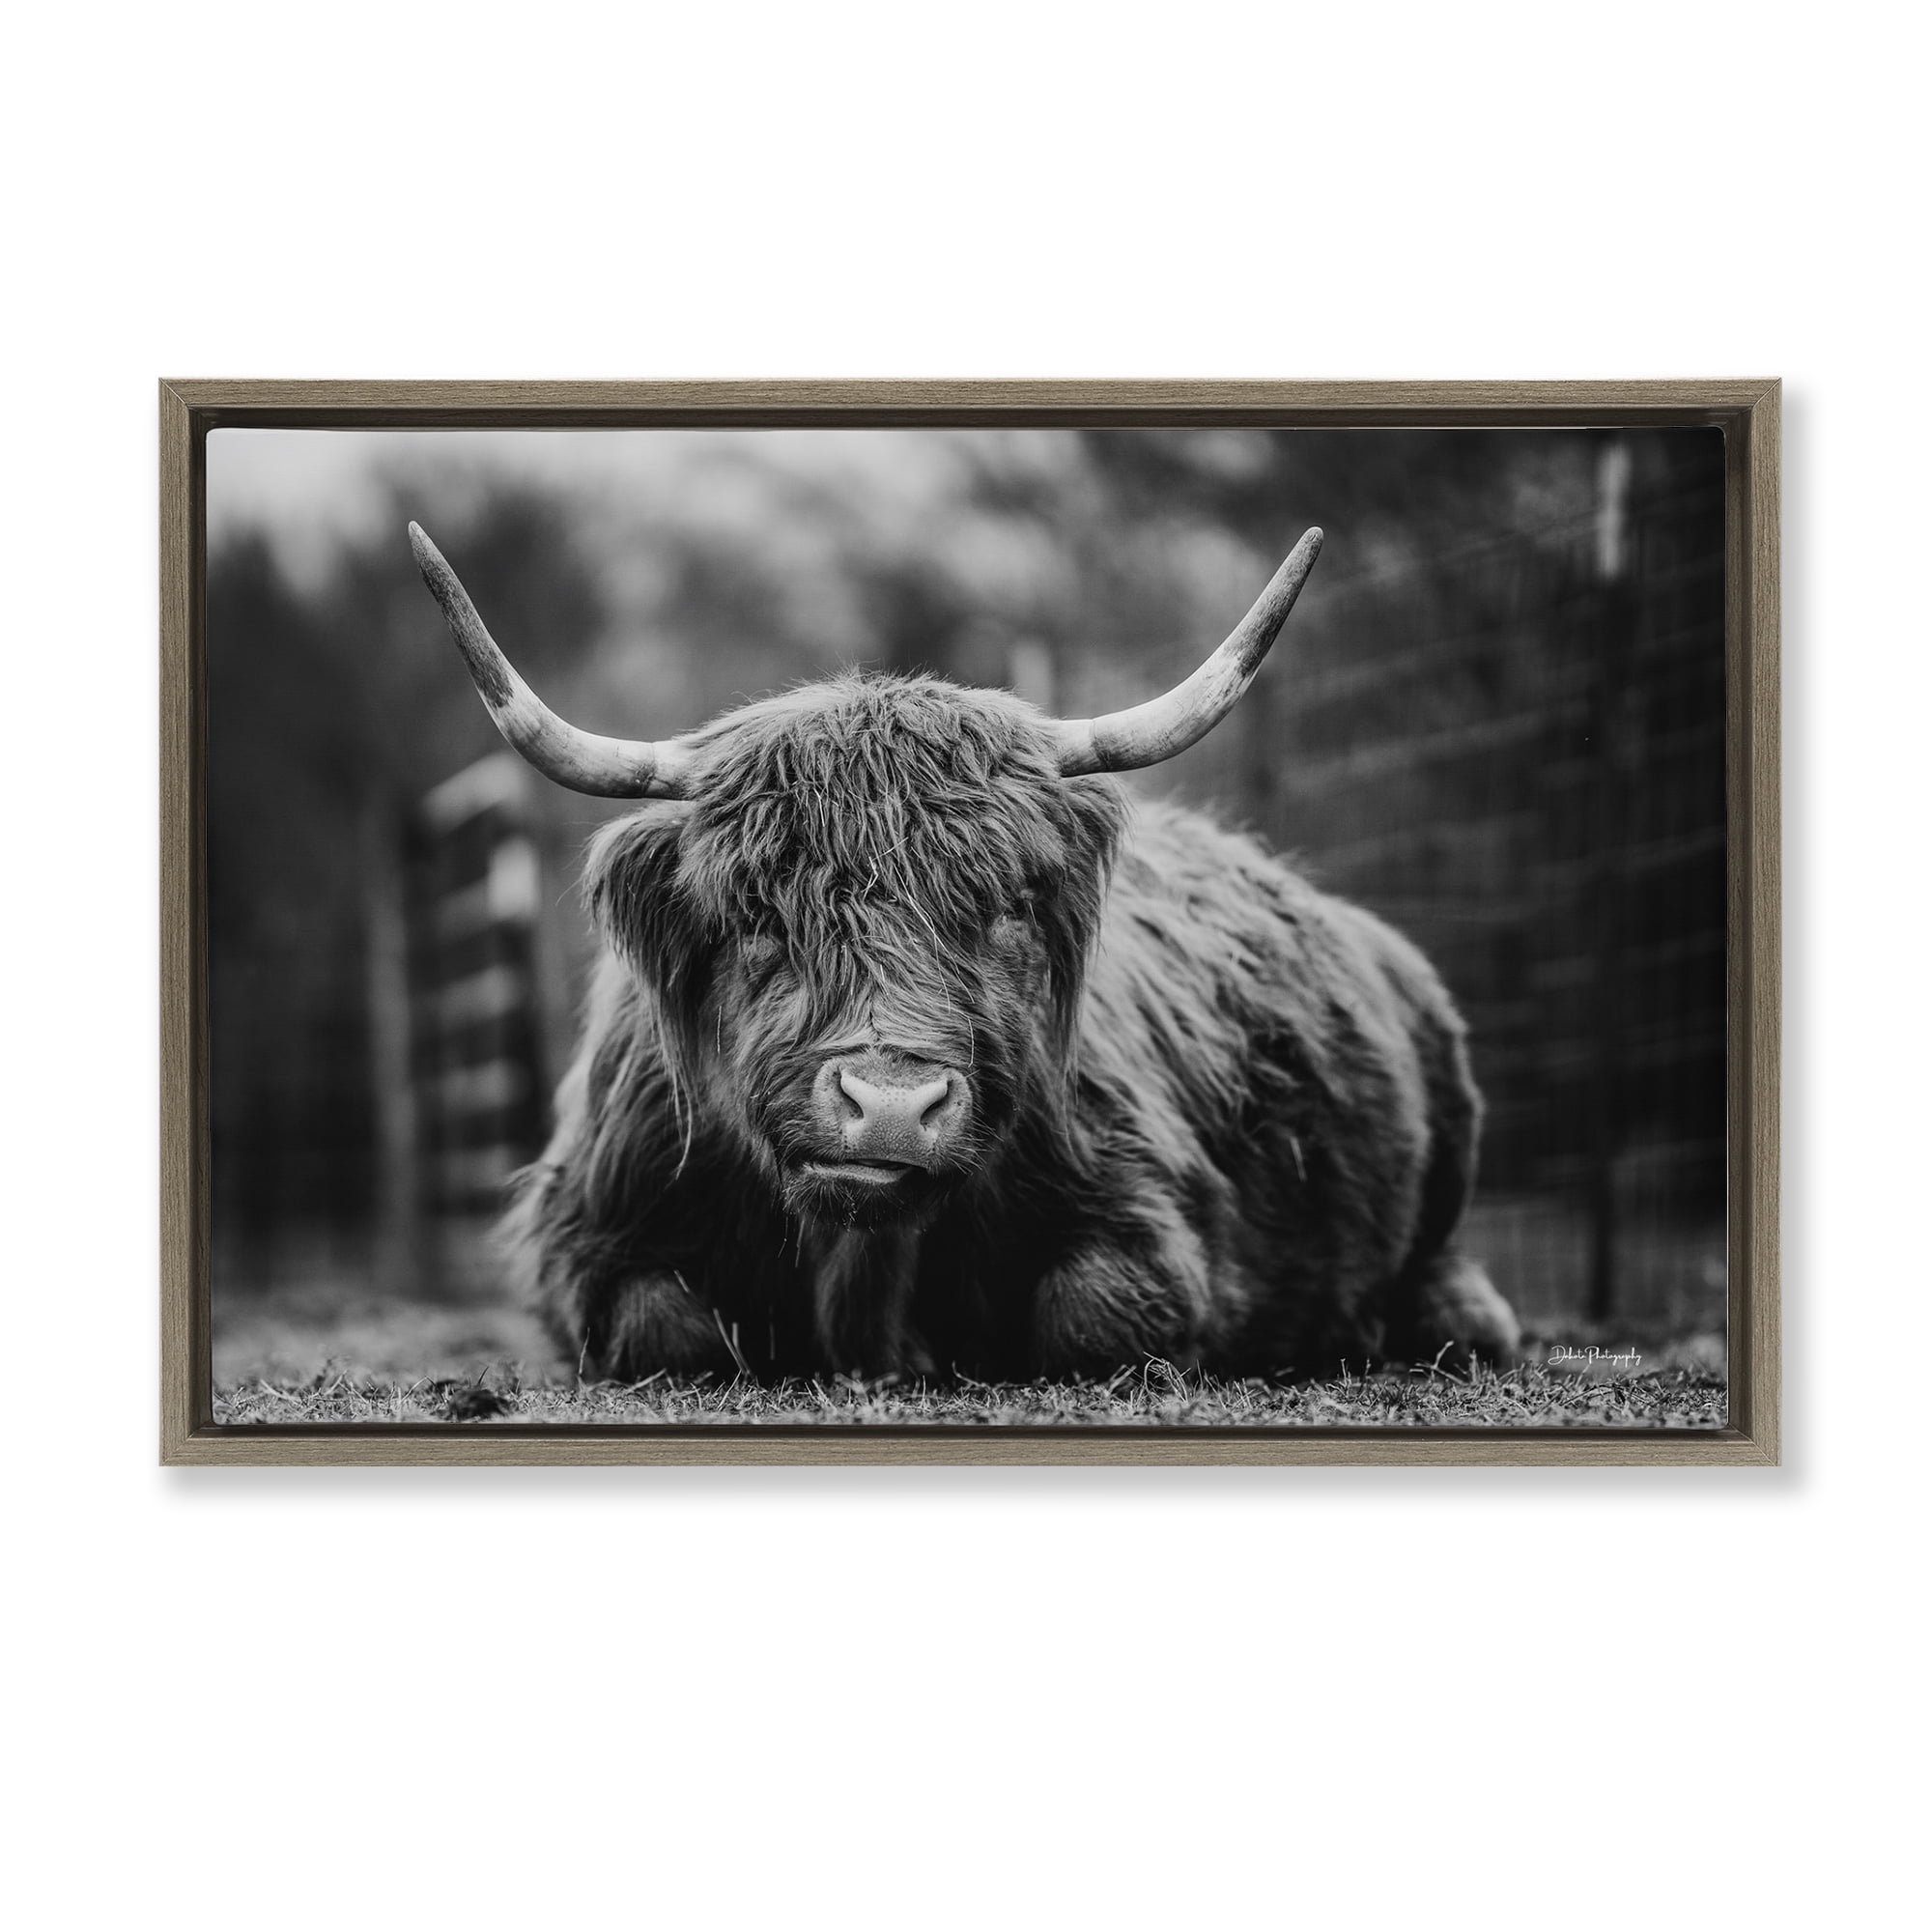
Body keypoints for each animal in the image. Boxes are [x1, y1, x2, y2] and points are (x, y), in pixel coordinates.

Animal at [410, 519, 1521, 1383]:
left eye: (1003, 909)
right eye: (759, 913)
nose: (893, 1105)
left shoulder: (1150, 1221)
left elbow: (1094, 1315)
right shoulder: (587, 1237)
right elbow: (660, 1329)